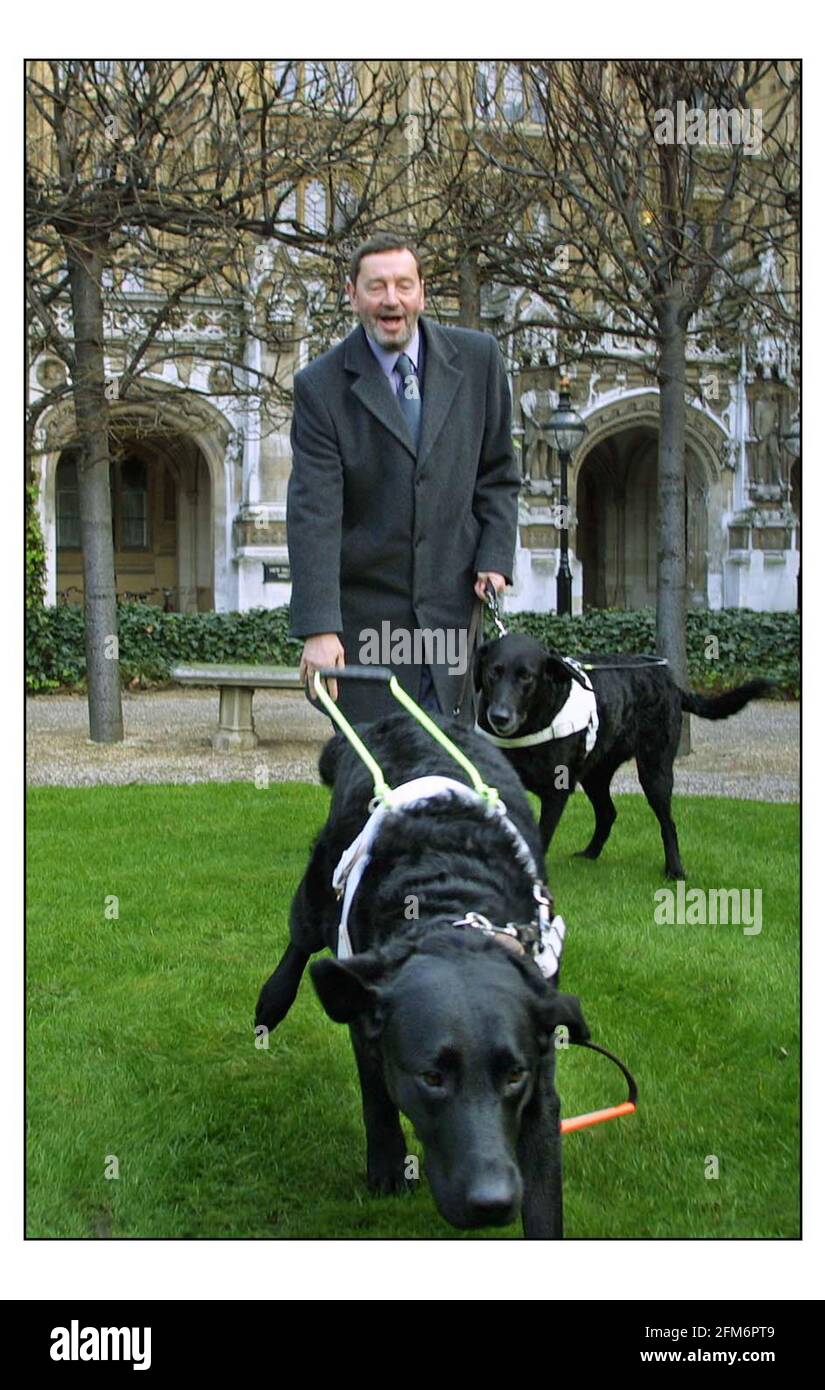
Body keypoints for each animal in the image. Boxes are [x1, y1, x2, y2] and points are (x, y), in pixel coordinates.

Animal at [255, 711, 583, 1245]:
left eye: (514, 1076)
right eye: (431, 1078)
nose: (492, 1201)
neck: (447, 909)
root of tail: (392, 717)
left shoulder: (540, 1076)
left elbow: (543, 1201)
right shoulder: (365, 1011)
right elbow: (377, 1095)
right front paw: (388, 1164)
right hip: (320, 885)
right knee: (301, 939)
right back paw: (271, 1002)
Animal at [472, 633, 766, 878]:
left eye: (526, 677)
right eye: (493, 673)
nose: (499, 716)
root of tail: (671, 683)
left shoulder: (556, 792)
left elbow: (539, 839)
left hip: (654, 770)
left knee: (668, 823)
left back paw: (675, 870)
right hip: (596, 774)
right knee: (607, 813)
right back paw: (590, 853)